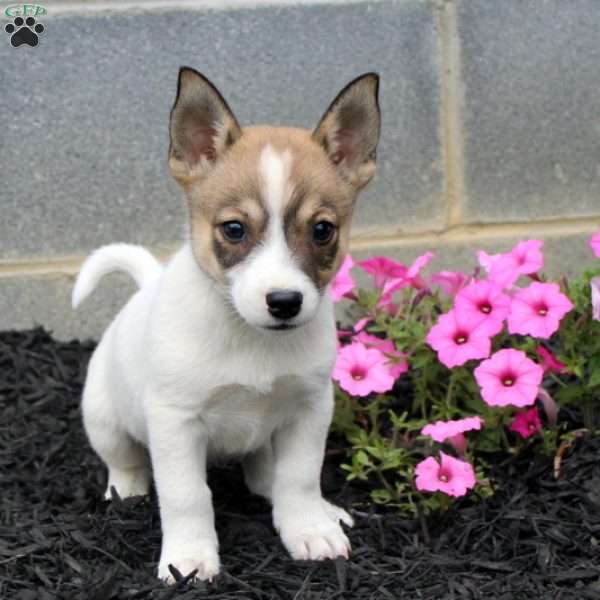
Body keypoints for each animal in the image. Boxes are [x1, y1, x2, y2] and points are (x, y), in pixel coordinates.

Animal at [71, 68, 380, 584]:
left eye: (322, 230)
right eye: (234, 229)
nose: (284, 302)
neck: (248, 336)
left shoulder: (310, 409)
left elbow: (299, 477)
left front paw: (308, 528)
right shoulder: (175, 422)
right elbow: (187, 496)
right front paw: (189, 558)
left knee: (266, 475)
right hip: (104, 420)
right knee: (124, 461)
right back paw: (128, 491)